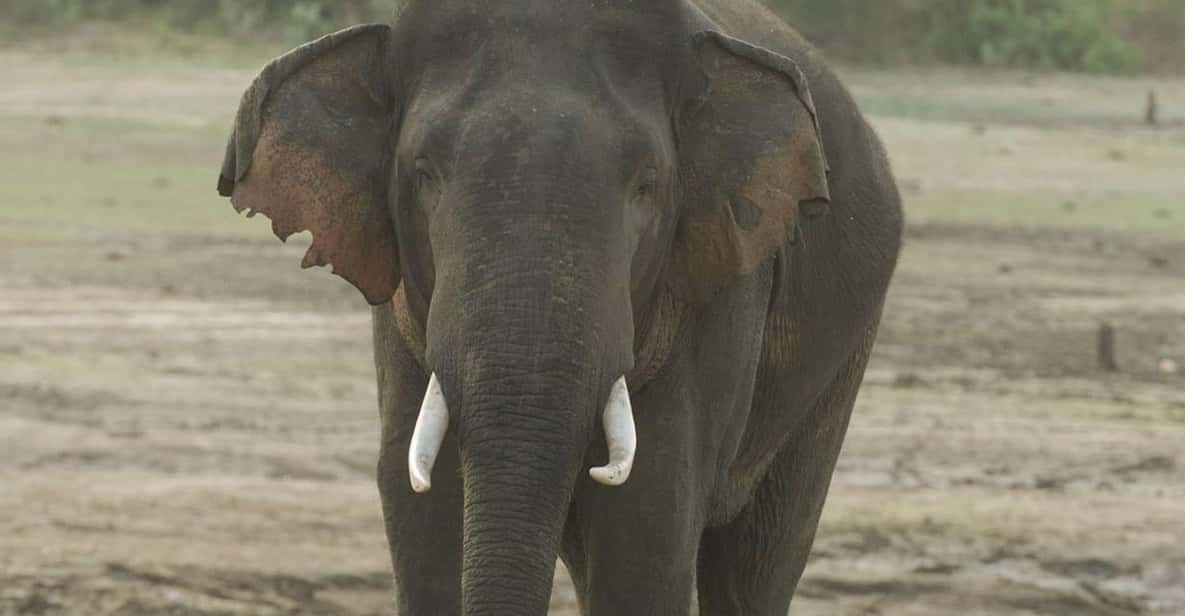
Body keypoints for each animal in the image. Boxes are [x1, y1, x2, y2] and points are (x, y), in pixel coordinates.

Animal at [215, 1, 895, 616]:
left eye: (647, 185)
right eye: (423, 173)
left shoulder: (718, 290)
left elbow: (652, 517)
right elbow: (423, 510)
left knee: (757, 562)